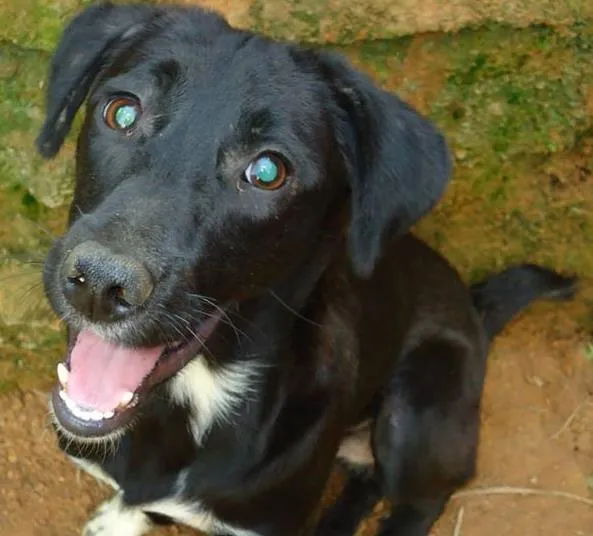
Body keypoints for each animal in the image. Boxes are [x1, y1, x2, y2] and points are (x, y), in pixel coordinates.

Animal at [34, 2, 576, 532]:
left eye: (267, 171)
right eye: (122, 111)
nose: (99, 284)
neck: (194, 399)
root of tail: (473, 305)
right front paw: (122, 517)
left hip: (420, 408)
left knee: (419, 500)